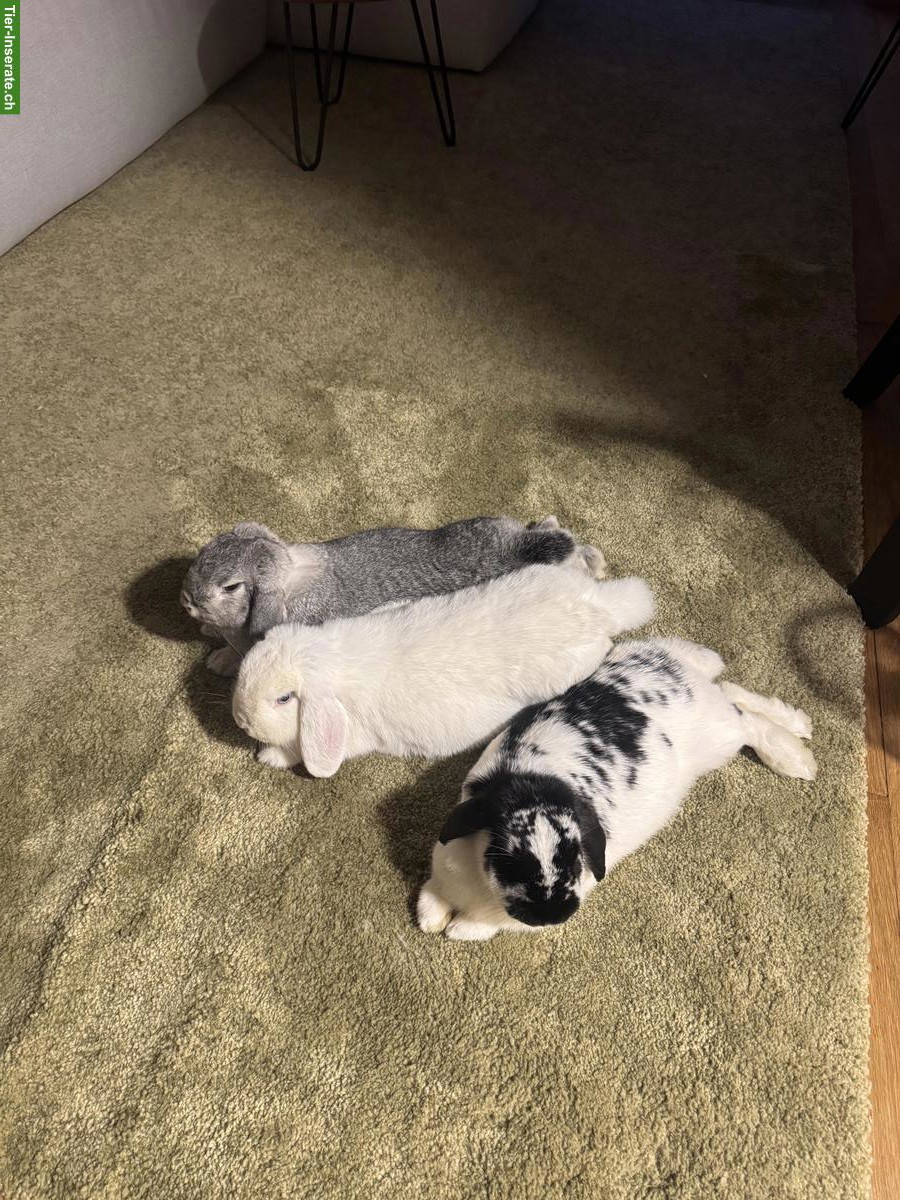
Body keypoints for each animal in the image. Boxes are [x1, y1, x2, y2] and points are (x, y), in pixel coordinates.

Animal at [230, 565, 655, 778]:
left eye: (284, 698)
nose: (240, 720)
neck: (331, 660)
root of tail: (599, 606)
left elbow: (299, 751)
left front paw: (268, 757)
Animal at [417, 637, 817, 941]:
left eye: (575, 854)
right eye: (508, 857)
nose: (552, 915)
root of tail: (671, 668)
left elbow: (482, 925)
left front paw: (458, 930)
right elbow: (432, 895)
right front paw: (430, 919)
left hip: (719, 735)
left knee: (747, 720)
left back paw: (798, 758)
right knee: (734, 694)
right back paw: (801, 731)